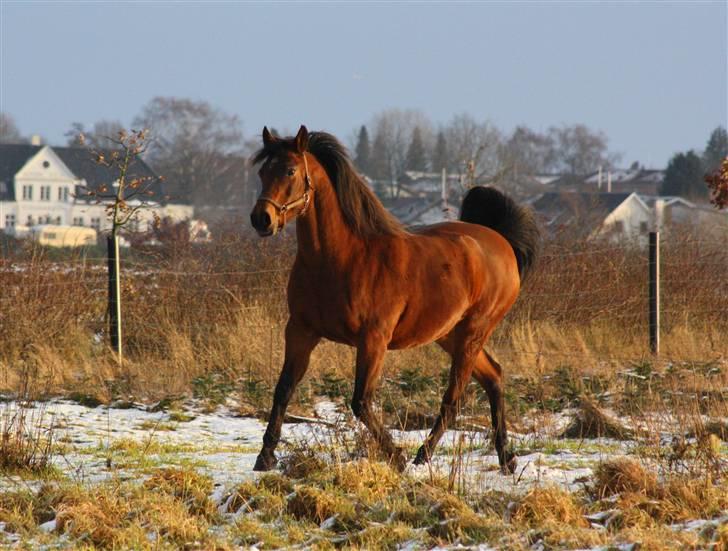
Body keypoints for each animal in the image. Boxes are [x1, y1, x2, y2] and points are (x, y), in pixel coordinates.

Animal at [247, 125, 536, 474]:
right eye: (262, 171)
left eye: (290, 170)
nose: (261, 219)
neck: (341, 258)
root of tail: (500, 241)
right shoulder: (301, 331)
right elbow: (283, 389)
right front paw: (265, 457)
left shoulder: (373, 338)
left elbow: (360, 401)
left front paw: (395, 457)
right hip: (449, 334)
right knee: (493, 376)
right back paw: (506, 457)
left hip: (474, 330)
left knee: (454, 397)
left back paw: (422, 456)